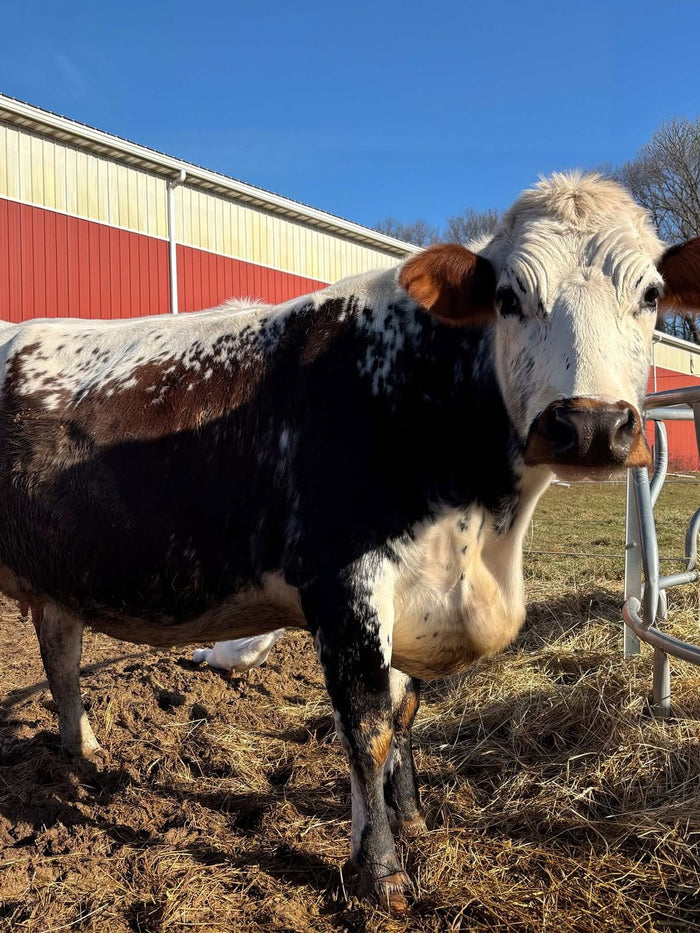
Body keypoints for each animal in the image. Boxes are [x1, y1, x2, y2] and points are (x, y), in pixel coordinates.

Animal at [1, 173, 699, 910]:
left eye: (651, 294)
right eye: (509, 297)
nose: (591, 426)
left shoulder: (416, 597)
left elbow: (405, 711)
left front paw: (413, 819)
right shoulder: (343, 590)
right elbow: (366, 728)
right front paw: (382, 870)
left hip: (56, 582)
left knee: (61, 656)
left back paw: (85, 751)